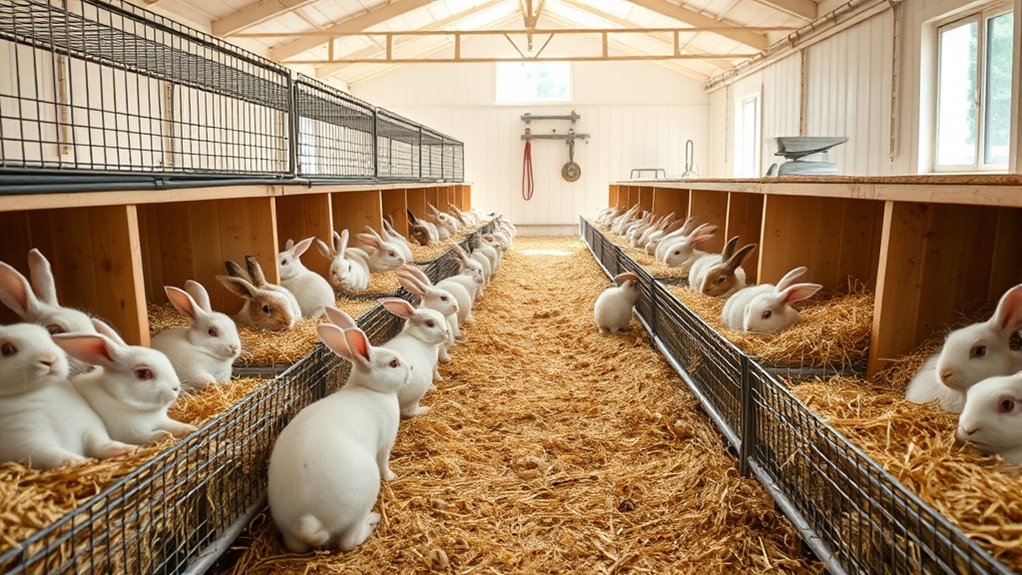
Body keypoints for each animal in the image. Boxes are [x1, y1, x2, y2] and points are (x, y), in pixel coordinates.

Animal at [0, 322, 136, 469]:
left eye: (50, 338)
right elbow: (53, 454)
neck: (41, 390)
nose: (50, 359)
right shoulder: (29, 442)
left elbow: (100, 443)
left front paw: (125, 448)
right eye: (7, 349)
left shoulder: (89, 427)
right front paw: (78, 460)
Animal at [56, 319, 194, 445]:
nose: (176, 388)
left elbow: (175, 425)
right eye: (143, 373)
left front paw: (190, 428)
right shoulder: (131, 434)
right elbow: (151, 435)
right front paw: (165, 435)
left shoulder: (162, 421)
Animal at [267, 310, 410, 553]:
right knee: (348, 541)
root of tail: (309, 521)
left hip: (290, 532)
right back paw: (373, 520)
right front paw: (392, 476)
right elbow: (385, 463)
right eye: (393, 363)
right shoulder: (385, 444)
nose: (411, 369)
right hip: (363, 495)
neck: (368, 388)